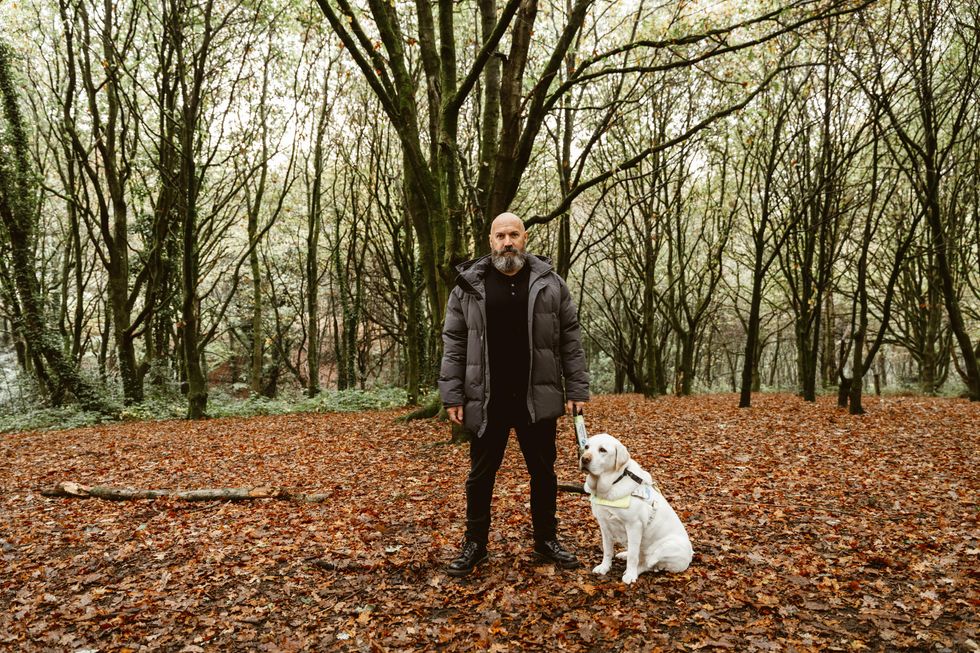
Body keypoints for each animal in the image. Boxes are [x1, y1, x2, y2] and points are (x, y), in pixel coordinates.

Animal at [580, 432, 692, 580]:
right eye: (586, 447)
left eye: (602, 450)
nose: (584, 459)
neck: (612, 484)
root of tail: (691, 555)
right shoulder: (604, 525)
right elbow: (607, 550)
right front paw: (604, 567)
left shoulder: (634, 526)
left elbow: (633, 557)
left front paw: (630, 575)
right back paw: (624, 554)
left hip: (667, 547)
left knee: (649, 563)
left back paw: (634, 571)